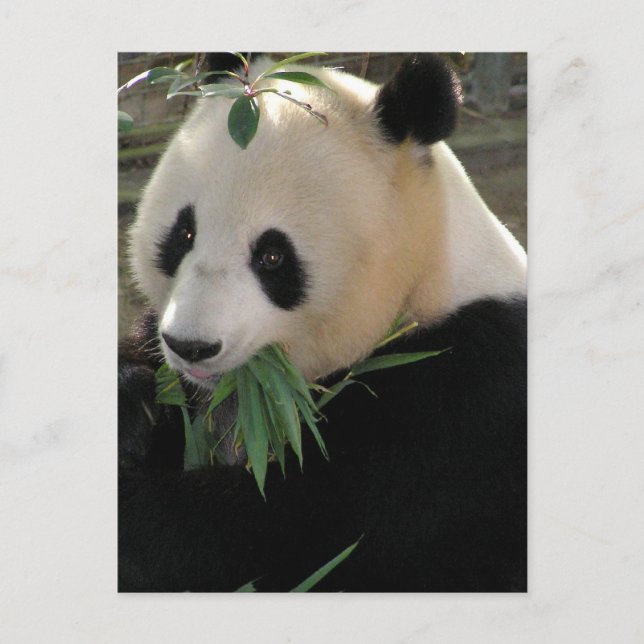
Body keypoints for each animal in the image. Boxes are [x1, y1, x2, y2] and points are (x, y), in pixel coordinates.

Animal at [118, 53, 527, 592]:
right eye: (184, 233)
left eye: (272, 256)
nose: (191, 346)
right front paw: (133, 406)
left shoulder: (462, 398)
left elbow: (298, 534)